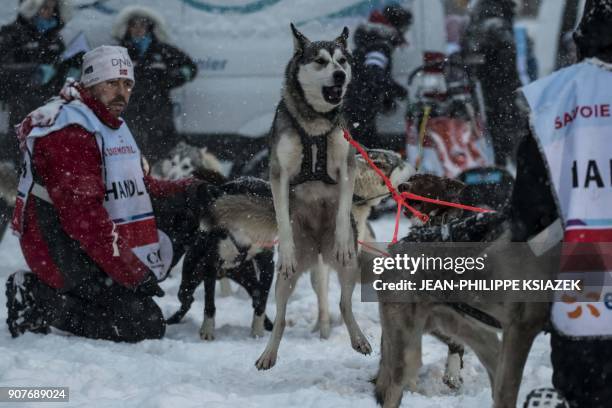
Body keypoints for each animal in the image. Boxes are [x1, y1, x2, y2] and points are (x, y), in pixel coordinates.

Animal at [255, 23, 372, 372]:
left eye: (342, 60)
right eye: (320, 61)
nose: (339, 76)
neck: (316, 124)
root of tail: (319, 248)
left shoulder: (347, 164)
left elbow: (344, 204)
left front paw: (344, 236)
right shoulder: (278, 173)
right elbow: (281, 213)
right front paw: (286, 244)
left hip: (349, 267)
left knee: (344, 303)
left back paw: (358, 338)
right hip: (284, 280)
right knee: (280, 317)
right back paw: (268, 353)